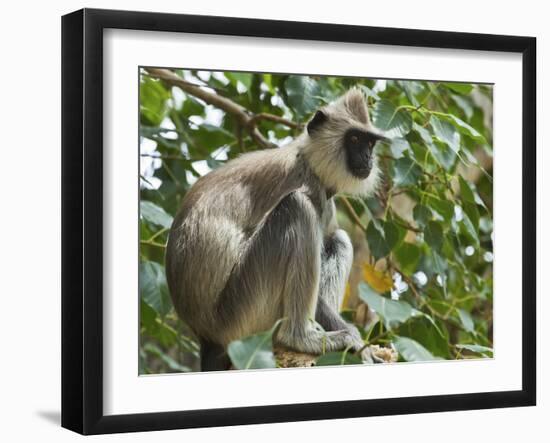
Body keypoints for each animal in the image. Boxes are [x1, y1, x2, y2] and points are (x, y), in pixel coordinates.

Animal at [166, 89, 386, 372]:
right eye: (355, 139)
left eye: (370, 144)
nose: (368, 159)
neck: (306, 159)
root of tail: (206, 335)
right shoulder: (305, 182)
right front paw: (357, 342)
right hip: (242, 313)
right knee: (297, 207)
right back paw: (301, 338)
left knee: (338, 238)